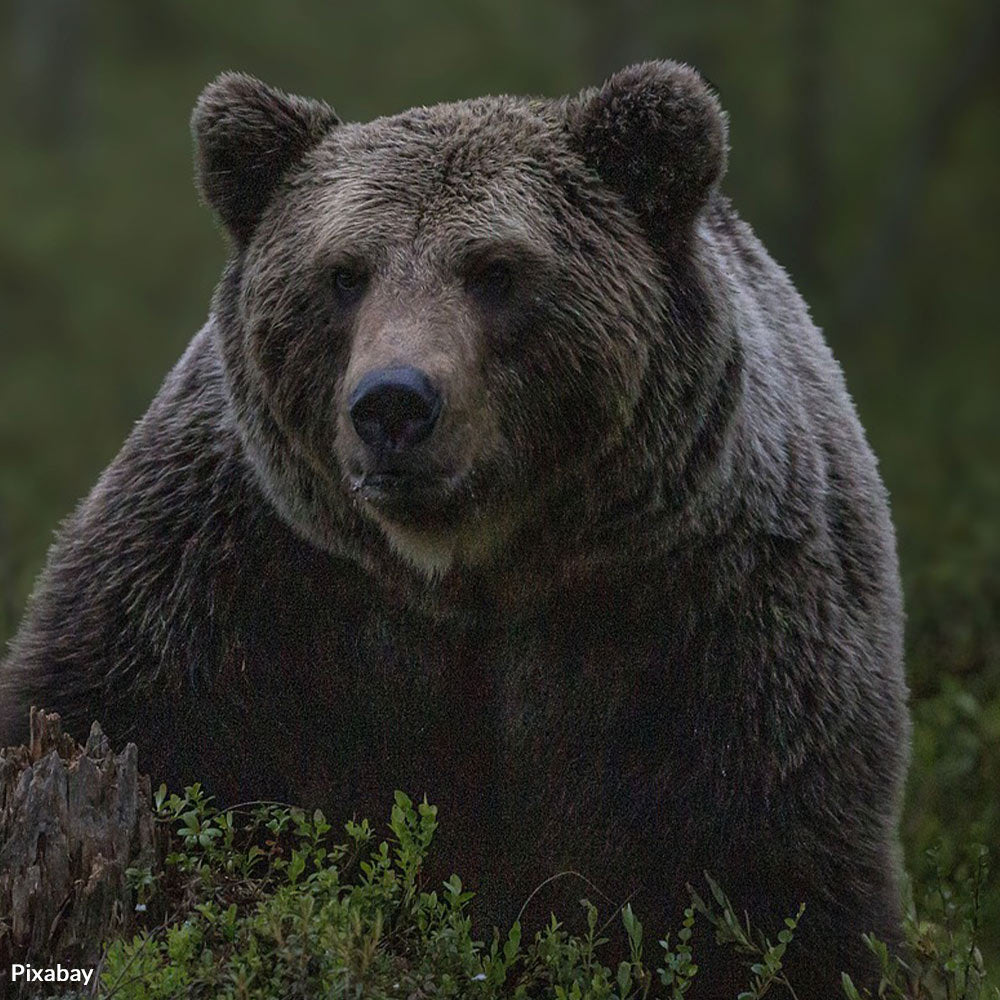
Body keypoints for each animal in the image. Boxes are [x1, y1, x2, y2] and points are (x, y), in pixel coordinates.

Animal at [0, 62, 909, 994]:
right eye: (344, 273)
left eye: (496, 270)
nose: (393, 404)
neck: (466, 570)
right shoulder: (232, 572)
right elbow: (122, 712)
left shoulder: (711, 615)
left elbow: (768, 872)